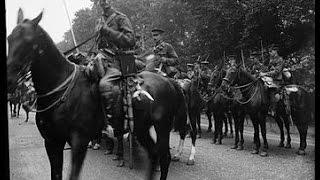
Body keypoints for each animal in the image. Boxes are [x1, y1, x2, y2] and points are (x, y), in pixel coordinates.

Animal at [6, 8, 188, 180]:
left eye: (28, 40)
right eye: (9, 38)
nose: (9, 78)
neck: (60, 90)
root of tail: (169, 82)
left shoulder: (79, 141)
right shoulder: (52, 142)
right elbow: (56, 174)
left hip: (162, 126)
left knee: (164, 157)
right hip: (141, 128)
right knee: (154, 154)